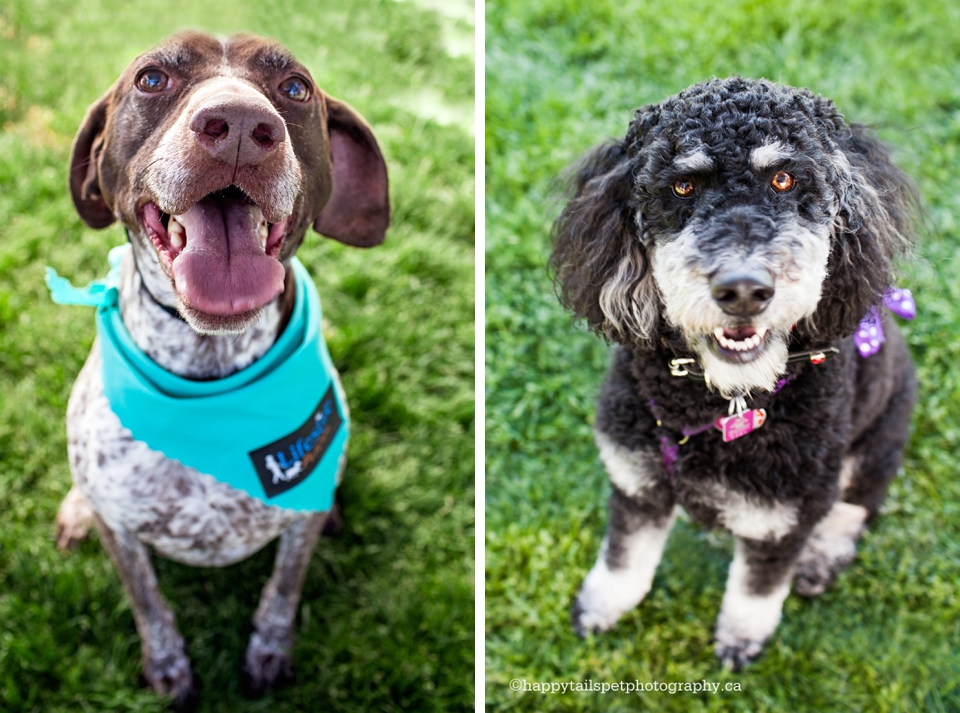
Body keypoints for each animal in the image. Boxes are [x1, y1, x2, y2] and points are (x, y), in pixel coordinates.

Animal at [52, 32, 388, 700]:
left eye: (295, 88)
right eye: (152, 79)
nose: (237, 125)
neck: (208, 370)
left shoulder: (297, 530)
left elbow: (283, 590)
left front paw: (269, 651)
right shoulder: (121, 532)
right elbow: (149, 604)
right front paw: (167, 666)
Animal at [556, 78, 924, 668]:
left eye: (783, 179)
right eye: (683, 186)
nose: (744, 289)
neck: (720, 403)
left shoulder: (784, 516)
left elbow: (757, 588)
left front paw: (741, 639)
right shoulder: (637, 479)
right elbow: (624, 557)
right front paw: (602, 605)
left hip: (880, 443)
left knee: (853, 509)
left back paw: (820, 560)